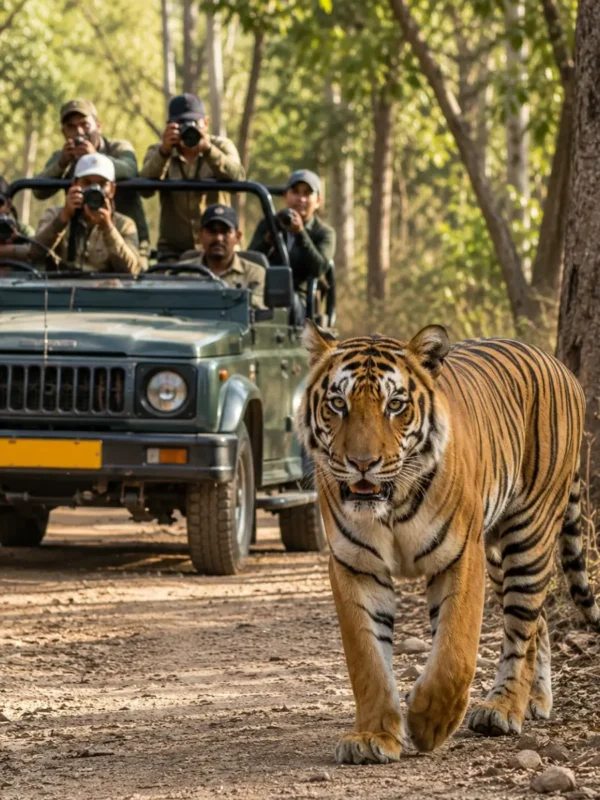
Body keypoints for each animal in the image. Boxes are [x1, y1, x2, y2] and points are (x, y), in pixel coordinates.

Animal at [296, 321, 600, 765]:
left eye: (395, 405)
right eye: (337, 403)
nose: (362, 463)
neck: (392, 503)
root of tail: (561, 366)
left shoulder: (460, 556)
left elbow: (455, 651)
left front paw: (428, 722)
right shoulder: (355, 564)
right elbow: (367, 659)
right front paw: (373, 736)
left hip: (528, 534)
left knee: (520, 628)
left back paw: (503, 709)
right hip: (499, 554)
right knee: (538, 621)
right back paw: (535, 701)